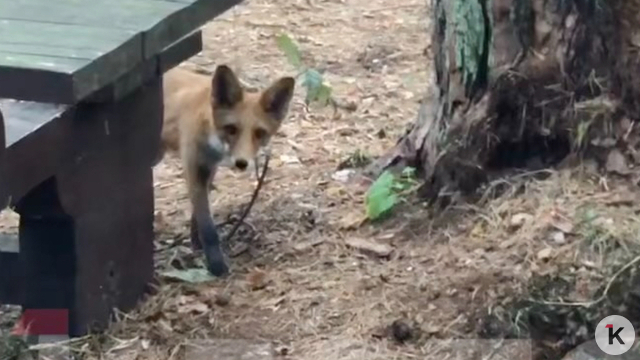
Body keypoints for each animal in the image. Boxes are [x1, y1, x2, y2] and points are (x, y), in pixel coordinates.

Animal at [156, 64, 296, 276]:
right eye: (231, 129)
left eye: (259, 133)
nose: (241, 163)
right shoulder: (193, 167)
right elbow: (208, 227)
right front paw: (216, 265)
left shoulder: (209, 169)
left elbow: (197, 215)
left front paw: (196, 242)